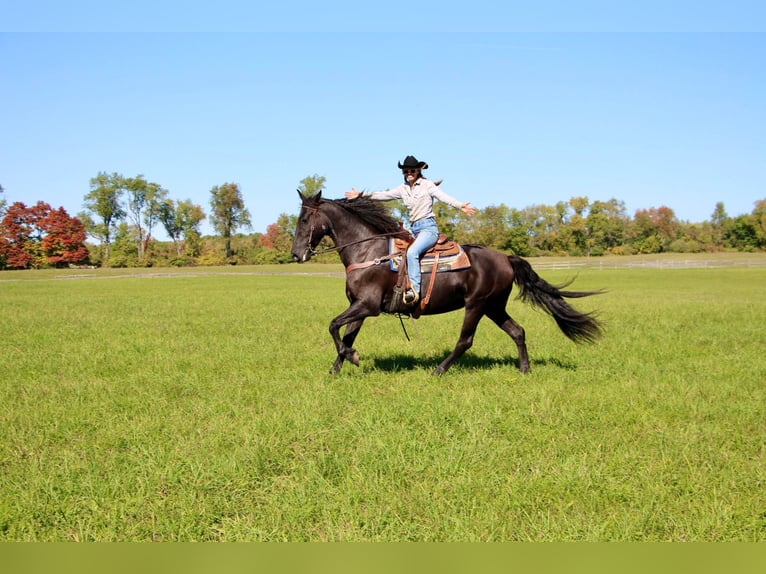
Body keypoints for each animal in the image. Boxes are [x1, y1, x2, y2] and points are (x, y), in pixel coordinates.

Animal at [292, 191, 604, 376]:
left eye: (305, 218)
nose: (296, 254)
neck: (368, 252)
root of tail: (505, 257)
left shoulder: (368, 306)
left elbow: (333, 325)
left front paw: (353, 358)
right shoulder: (359, 306)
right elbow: (346, 335)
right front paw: (336, 369)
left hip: (476, 305)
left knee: (465, 340)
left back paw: (439, 370)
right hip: (494, 307)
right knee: (518, 331)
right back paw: (524, 370)